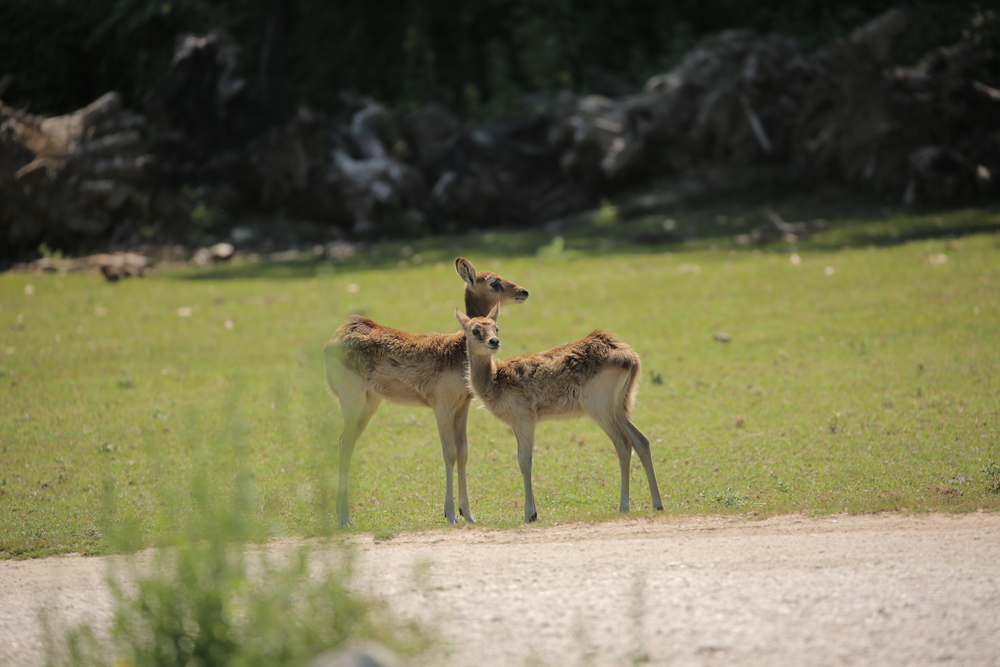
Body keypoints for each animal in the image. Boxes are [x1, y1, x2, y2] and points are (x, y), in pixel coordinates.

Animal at [326, 258, 532, 528]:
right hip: (352, 398)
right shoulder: (441, 404)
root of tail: (331, 342)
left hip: (370, 402)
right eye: (494, 282)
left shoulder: (463, 405)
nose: (523, 291)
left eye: (496, 328)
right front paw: (451, 514)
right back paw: (344, 518)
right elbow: (449, 453)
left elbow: (463, 451)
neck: (459, 354)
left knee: (346, 441)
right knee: (343, 441)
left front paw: (469, 514)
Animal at [456, 306, 664, 524]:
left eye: (496, 327)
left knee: (623, 443)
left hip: (600, 406)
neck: (495, 380)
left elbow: (524, 461)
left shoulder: (524, 417)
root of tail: (631, 359)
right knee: (642, 440)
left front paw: (529, 515)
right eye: (475, 330)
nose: (494, 341)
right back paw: (657, 504)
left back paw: (624, 506)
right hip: (620, 406)